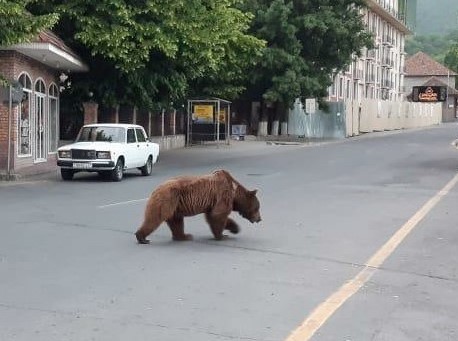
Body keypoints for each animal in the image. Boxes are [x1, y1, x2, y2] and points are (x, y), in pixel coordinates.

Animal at [134, 169, 262, 243]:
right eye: (257, 208)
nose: (260, 219)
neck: (235, 194)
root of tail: (155, 189)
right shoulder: (223, 195)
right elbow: (219, 215)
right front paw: (222, 235)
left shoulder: (212, 203)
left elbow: (212, 216)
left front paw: (234, 228)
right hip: (167, 199)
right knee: (155, 218)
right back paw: (142, 237)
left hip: (175, 205)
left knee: (176, 221)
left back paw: (184, 236)